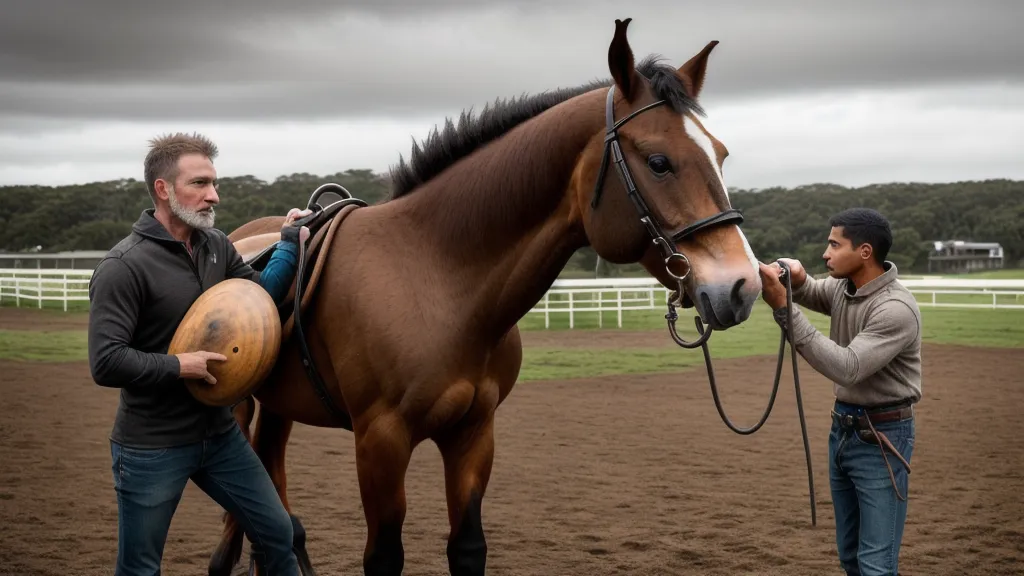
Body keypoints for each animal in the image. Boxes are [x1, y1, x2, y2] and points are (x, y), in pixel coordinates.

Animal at [208, 18, 763, 576]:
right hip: (236, 409)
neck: (436, 278)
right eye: (659, 161)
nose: (742, 285)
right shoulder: (380, 441)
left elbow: (468, 545)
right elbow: (384, 555)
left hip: (278, 407)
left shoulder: (475, 432)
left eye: (720, 154)